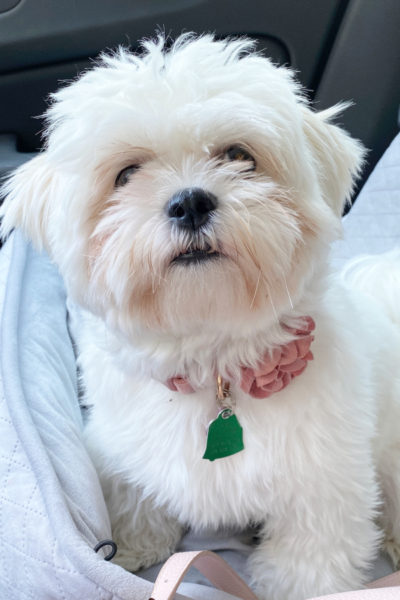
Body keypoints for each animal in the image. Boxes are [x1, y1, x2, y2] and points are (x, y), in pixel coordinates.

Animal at [0, 34, 400, 600]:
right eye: (126, 174)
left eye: (239, 155)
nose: (190, 202)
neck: (215, 365)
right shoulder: (124, 448)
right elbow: (135, 495)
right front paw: (134, 545)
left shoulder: (322, 487)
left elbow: (308, 562)